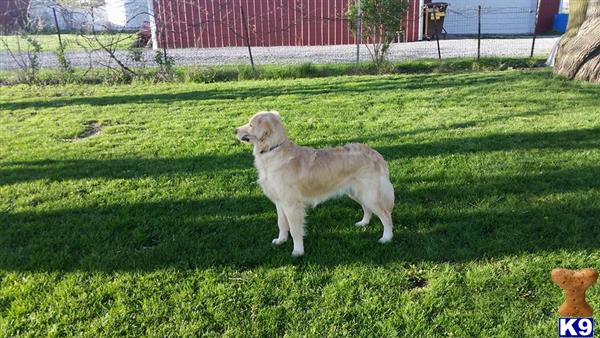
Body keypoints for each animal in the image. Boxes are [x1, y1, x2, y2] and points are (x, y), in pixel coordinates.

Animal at [234, 111, 394, 256]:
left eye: (251, 124)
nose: (234, 130)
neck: (273, 149)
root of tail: (376, 154)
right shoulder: (279, 202)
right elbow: (281, 224)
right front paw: (281, 241)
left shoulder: (292, 204)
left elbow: (294, 229)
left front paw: (298, 251)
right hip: (357, 193)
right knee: (367, 209)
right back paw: (363, 223)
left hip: (370, 195)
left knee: (386, 216)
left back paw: (386, 238)